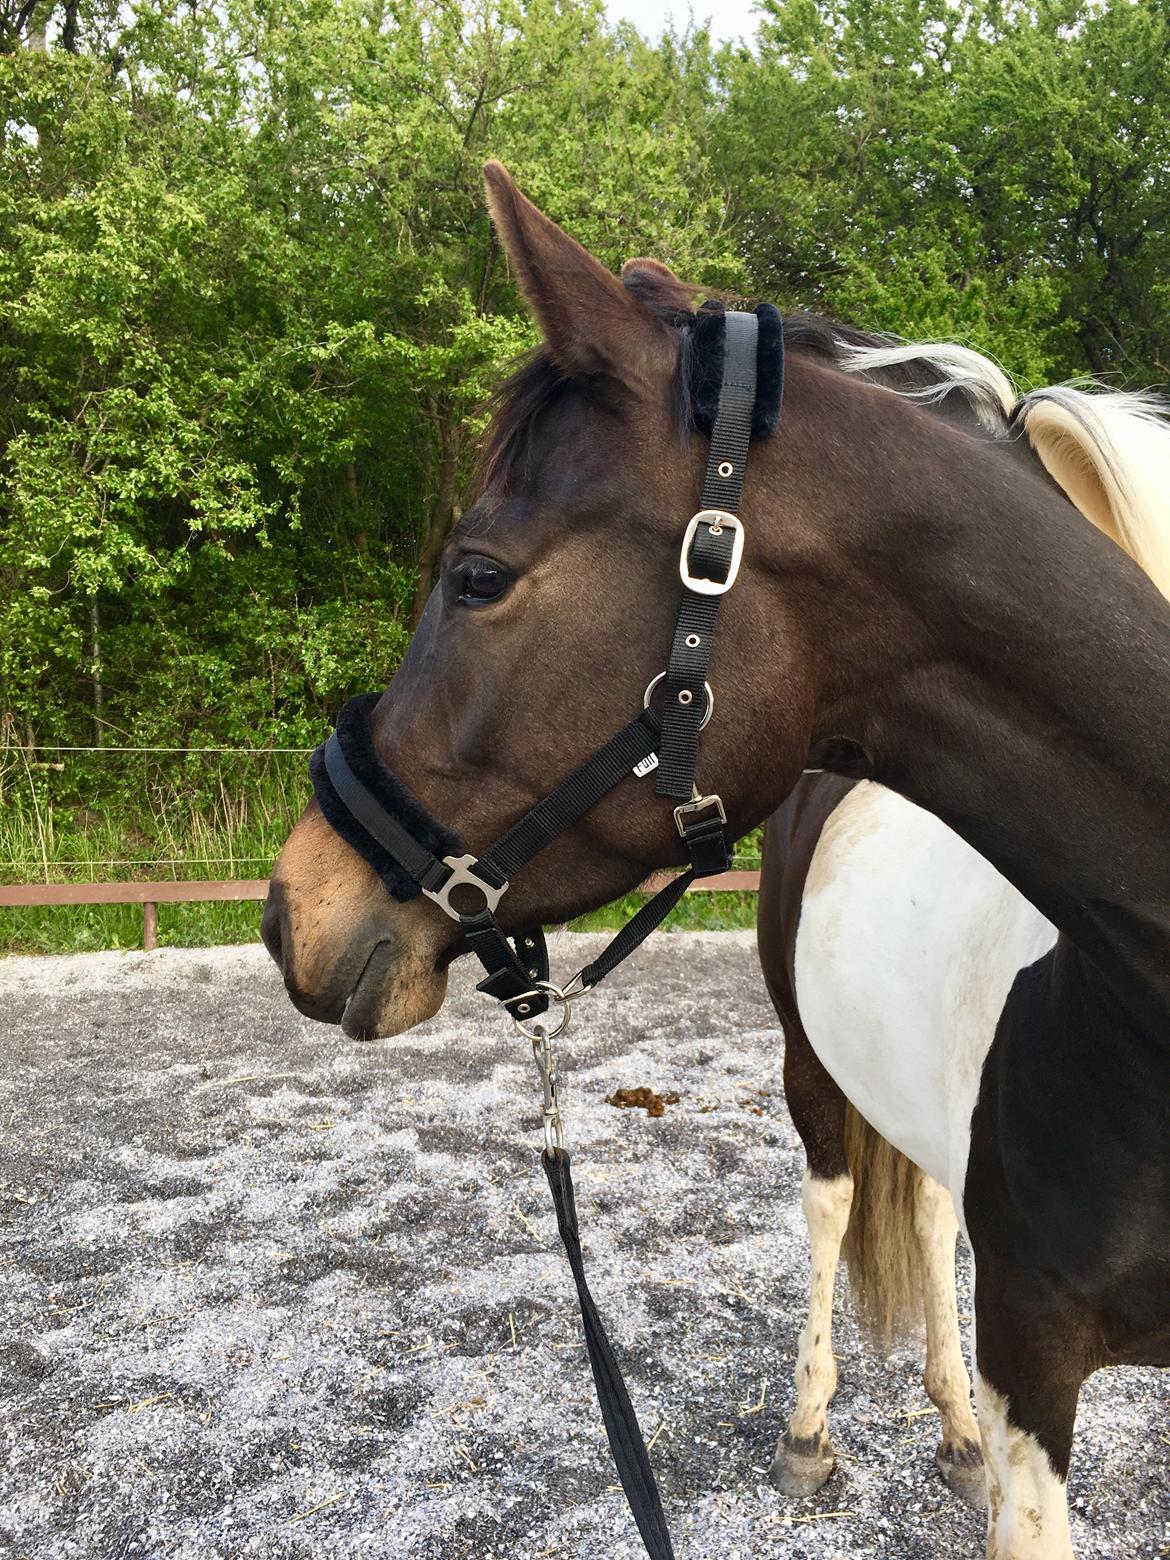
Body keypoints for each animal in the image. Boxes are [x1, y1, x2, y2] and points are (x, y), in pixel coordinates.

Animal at [265, 161, 1170, 1560]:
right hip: (811, 1064)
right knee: (841, 1202)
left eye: (477, 576)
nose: (289, 908)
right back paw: (814, 1438)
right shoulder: (1039, 1359)